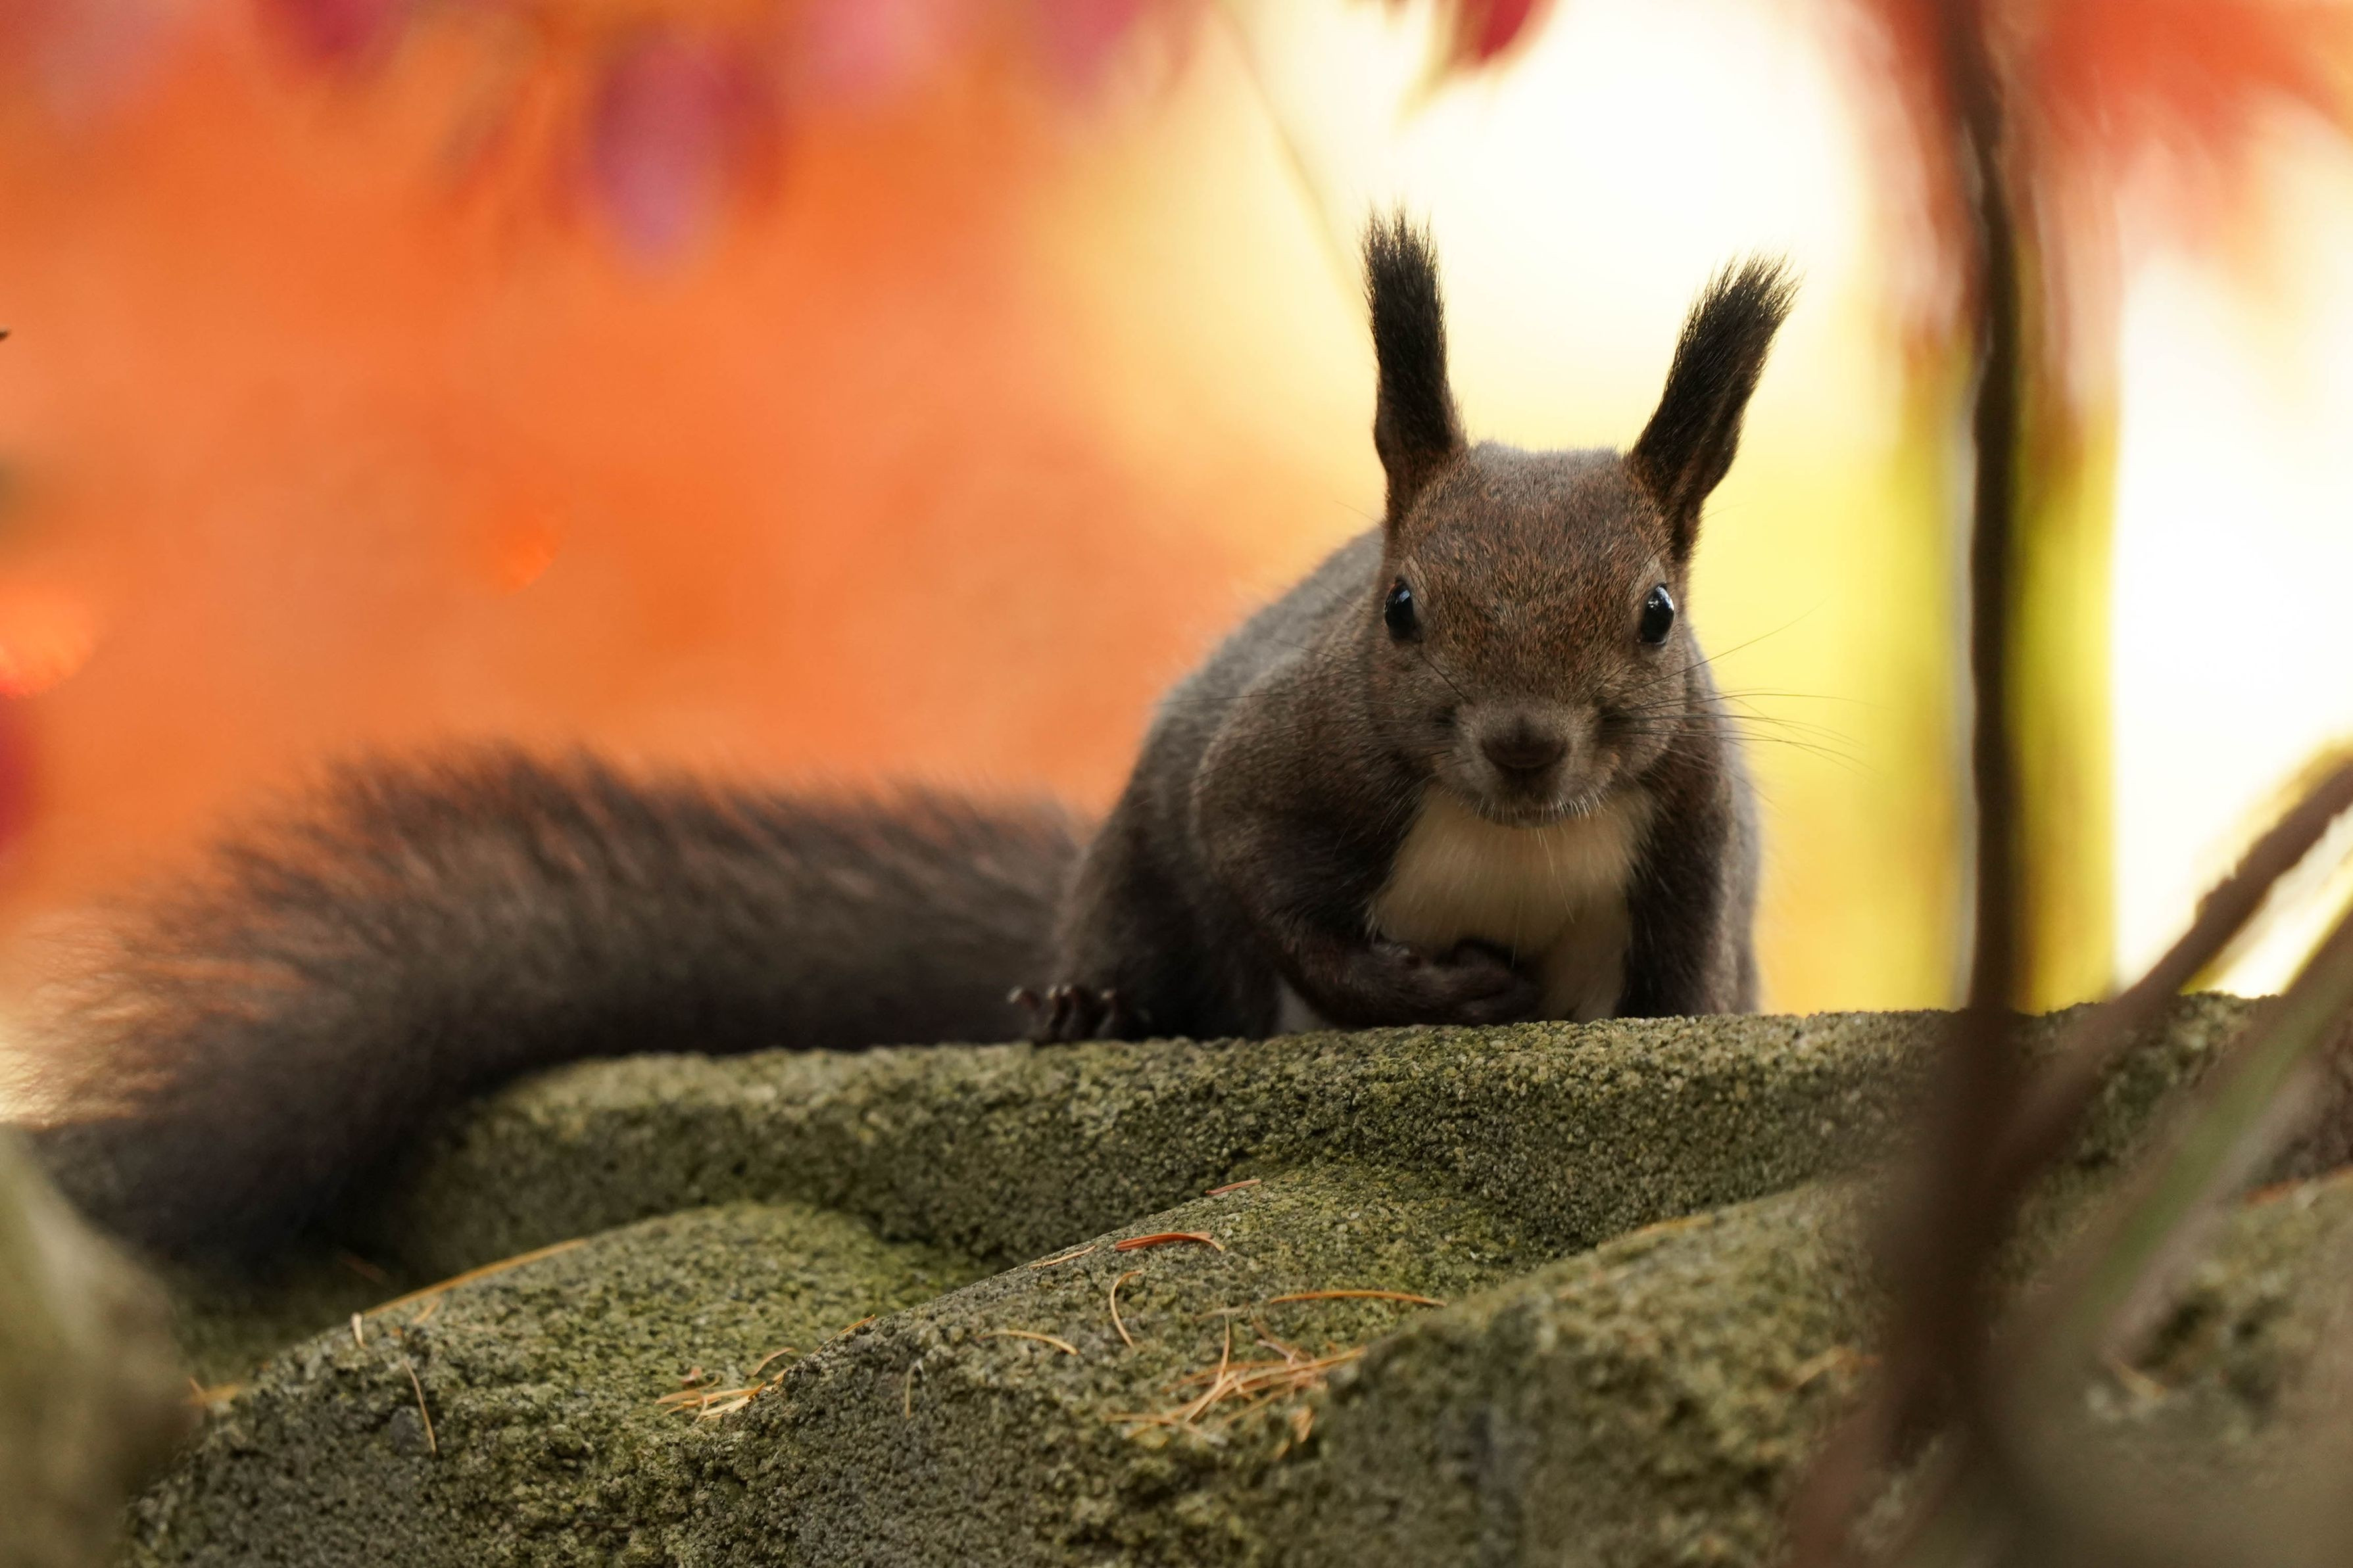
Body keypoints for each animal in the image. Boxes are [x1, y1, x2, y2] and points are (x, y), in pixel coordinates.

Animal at [14, 217, 1791, 1262]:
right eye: (1403, 607)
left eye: (1656, 614)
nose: (1523, 747)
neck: (1504, 836)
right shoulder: (1286, 766)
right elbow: (1274, 890)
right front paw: (1425, 992)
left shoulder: (1693, 835)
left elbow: (1685, 985)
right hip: (1132, 876)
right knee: (1149, 925)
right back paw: (1095, 1003)